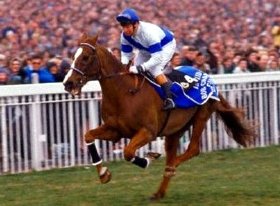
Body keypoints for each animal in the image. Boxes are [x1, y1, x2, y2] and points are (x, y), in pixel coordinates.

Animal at [63, 33, 256, 200]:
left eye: (85, 57)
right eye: (73, 56)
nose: (68, 83)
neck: (124, 92)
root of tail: (208, 77)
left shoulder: (148, 131)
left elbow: (128, 152)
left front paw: (148, 159)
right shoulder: (114, 131)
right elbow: (88, 135)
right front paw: (104, 174)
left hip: (201, 116)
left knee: (192, 149)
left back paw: (169, 165)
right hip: (174, 130)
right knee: (174, 154)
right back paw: (159, 191)